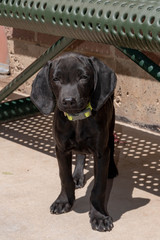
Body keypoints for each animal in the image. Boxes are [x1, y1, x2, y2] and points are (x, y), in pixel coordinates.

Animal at [30, 53, 118, 232]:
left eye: (84, 77)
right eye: (56, 79)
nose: (69, 101)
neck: (77, 119)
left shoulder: (100, 153)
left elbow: (99, 187)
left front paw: (99, 216)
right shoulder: (61, 149)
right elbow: (64, 177)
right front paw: (64, 201)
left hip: (111, 123)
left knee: (111, 145)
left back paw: (111, 169)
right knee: (80, 154)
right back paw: (77, 175)